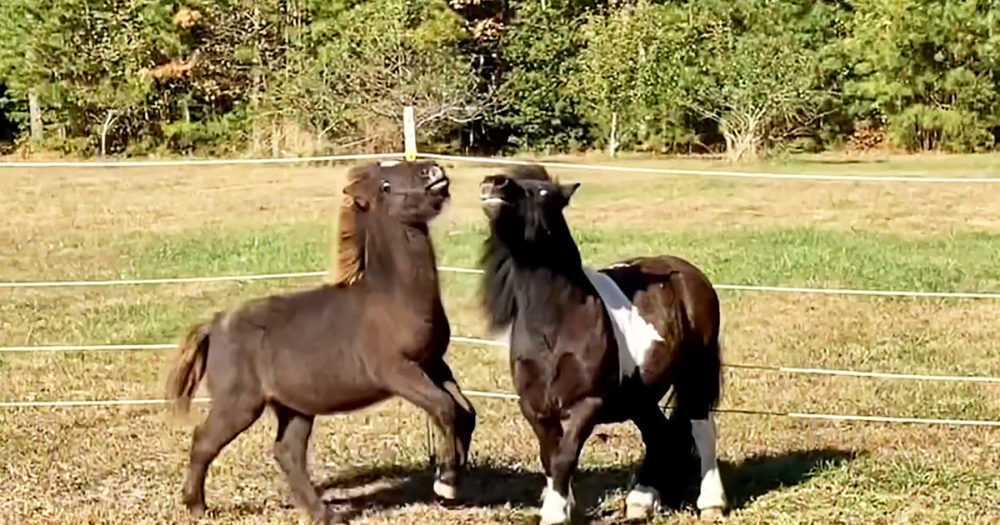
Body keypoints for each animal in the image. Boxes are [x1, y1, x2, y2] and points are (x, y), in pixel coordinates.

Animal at [165, 160, 477, 524]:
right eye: (385, 186)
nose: (434, 171)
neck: (393, 300)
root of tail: (215, 324)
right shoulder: (397, 372)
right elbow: (444, 408)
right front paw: (446, 482)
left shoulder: (434, 363)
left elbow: (465, 411)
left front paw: (452, 481)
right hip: (240, 403)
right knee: (204, 440)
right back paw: (197, 506)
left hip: (295, 407)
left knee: (287, 453)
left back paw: (324, 514)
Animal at [478, 165, 727, 523]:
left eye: (544, 194)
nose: (495, 183)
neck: (556, 323)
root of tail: (689, 274)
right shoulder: (535, 407)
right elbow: (550, 457)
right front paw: (564, 507)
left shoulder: (586, 404)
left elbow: (565, 457)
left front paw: (556, 513)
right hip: (639, 395)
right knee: (660, 435)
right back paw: (641, 500)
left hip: (696, 373)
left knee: (701, 428)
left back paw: (711, 504)